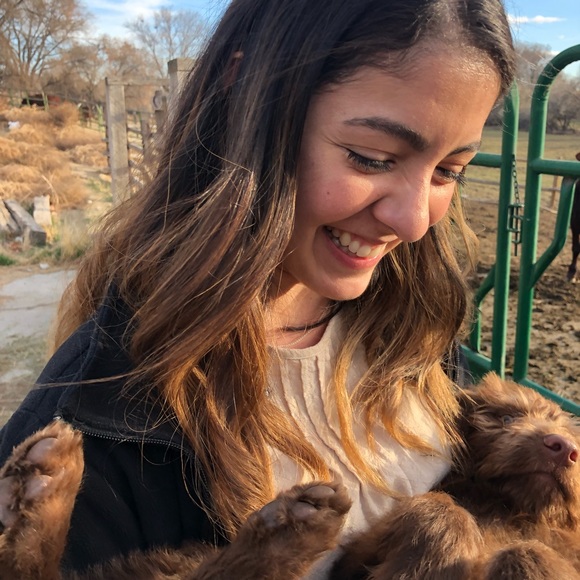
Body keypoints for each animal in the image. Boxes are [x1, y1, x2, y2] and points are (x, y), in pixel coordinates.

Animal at [1, 373, 579, 579]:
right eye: (503, 415)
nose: (563, 448)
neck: (511, 512)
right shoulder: (356, 557)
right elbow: (443, 510)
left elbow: (530, 557)